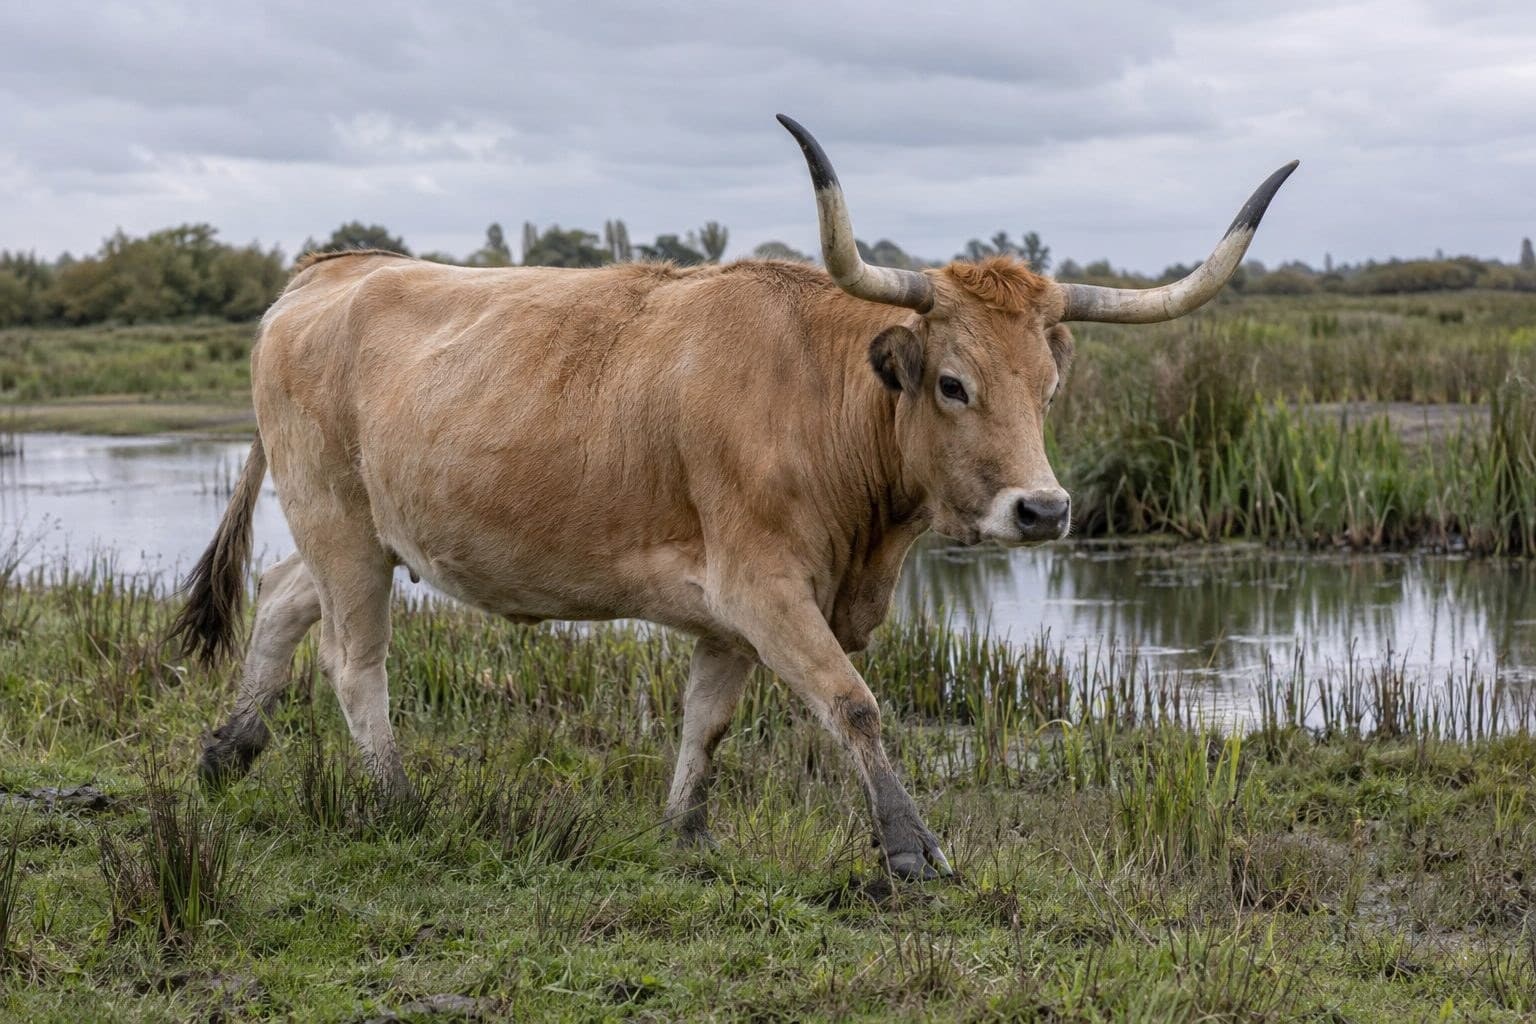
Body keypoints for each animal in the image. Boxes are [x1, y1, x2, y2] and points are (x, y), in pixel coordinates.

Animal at [170, 115, 1296, 879]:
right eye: (953, 382)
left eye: (1050, 385)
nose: (1045, 511)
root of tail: (327, 271)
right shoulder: (765, 588)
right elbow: (852, 701)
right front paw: (911, 849)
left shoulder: (729, 612)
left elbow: (706, 722)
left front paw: (687, 832)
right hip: (340, 522)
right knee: (353, 658)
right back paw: (399, 798)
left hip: (364, 531)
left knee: (281, 597)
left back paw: (230, 749)